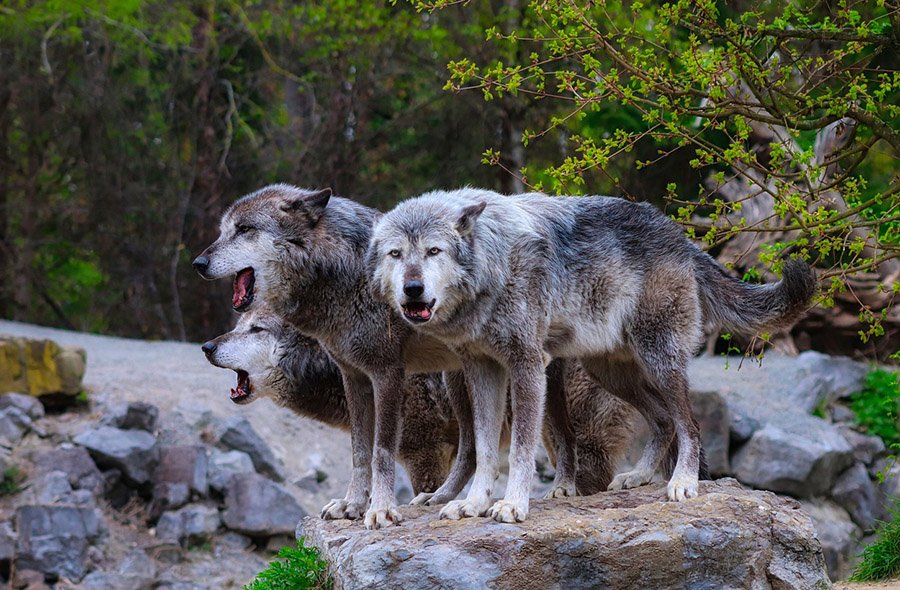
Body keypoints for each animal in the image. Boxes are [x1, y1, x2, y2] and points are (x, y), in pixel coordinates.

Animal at [368, 187, 816, 524]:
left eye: (434, 251)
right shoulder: (483, 369)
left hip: (660, 361)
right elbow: (485, 449)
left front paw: (513, 504)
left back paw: (683, 483)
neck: (494, 261)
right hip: (611, 374)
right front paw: (474, 504)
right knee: (664, 421)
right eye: (396, 254)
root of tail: (680, 236)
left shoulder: (527, 366)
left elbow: (520, 449)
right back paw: (638, 476)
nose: (412, 289)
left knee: (689, 424)